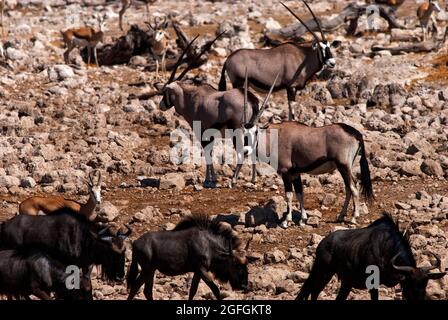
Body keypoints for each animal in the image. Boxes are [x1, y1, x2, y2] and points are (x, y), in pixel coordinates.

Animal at [233, 78, 376, 228]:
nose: (246, 150)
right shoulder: (296, 173)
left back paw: (354, 217)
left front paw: (287, 220)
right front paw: (302, 219)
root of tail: (356, 133)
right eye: (242, 132)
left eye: (255, 132)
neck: (273, 138)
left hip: (343, 165)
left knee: (353, 188)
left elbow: (289, 195)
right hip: (344, 167)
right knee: (349, 187)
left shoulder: (286, 172)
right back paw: (341, 216)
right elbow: (300, 193)